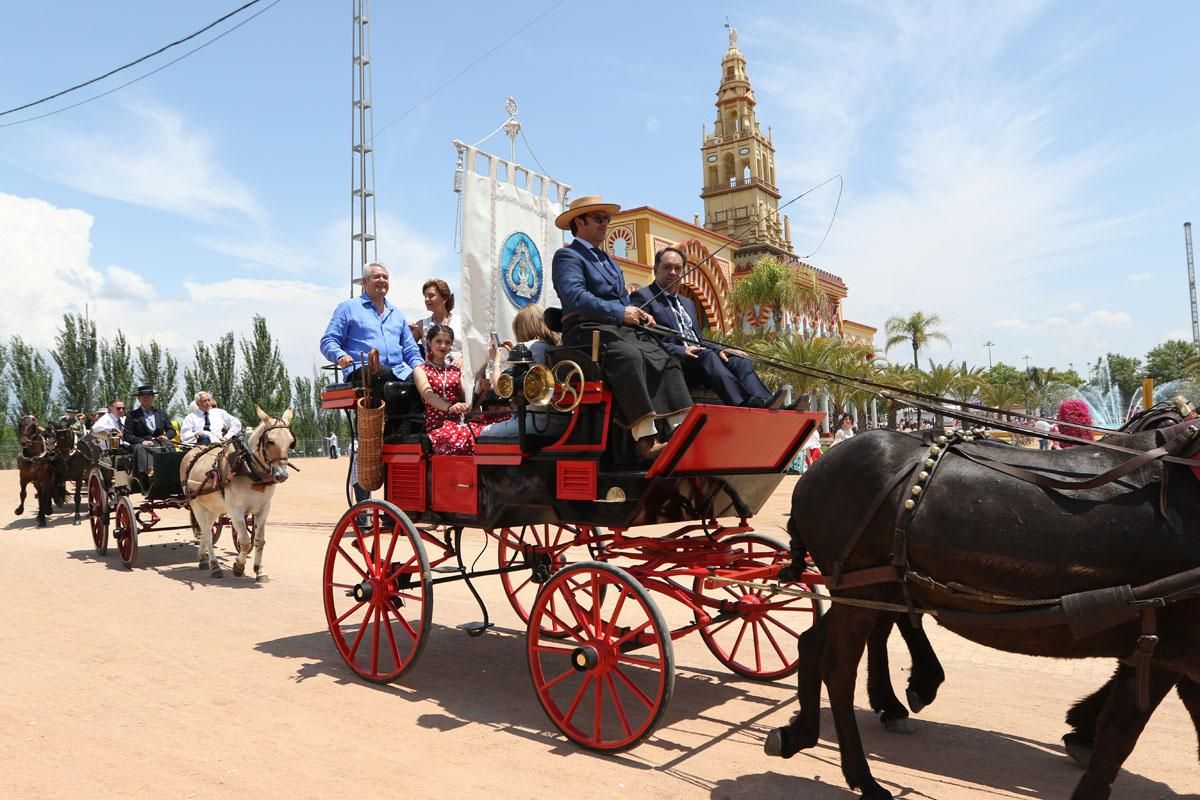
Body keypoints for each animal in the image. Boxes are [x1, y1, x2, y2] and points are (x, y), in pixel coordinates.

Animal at [182, 407, 295, 582]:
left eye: (290, 442)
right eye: (270, 441)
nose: (281, 475)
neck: (249, 469)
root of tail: (193, 451)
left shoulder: (263, 509)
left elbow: (259, 540)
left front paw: (259, 570)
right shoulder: (235, 511)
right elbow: (245, 541)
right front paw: (238, 566)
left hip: (213, 507)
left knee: (207, 530)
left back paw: (202, 559)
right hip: (196, 504)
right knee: (206, 533)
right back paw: (215, 566)